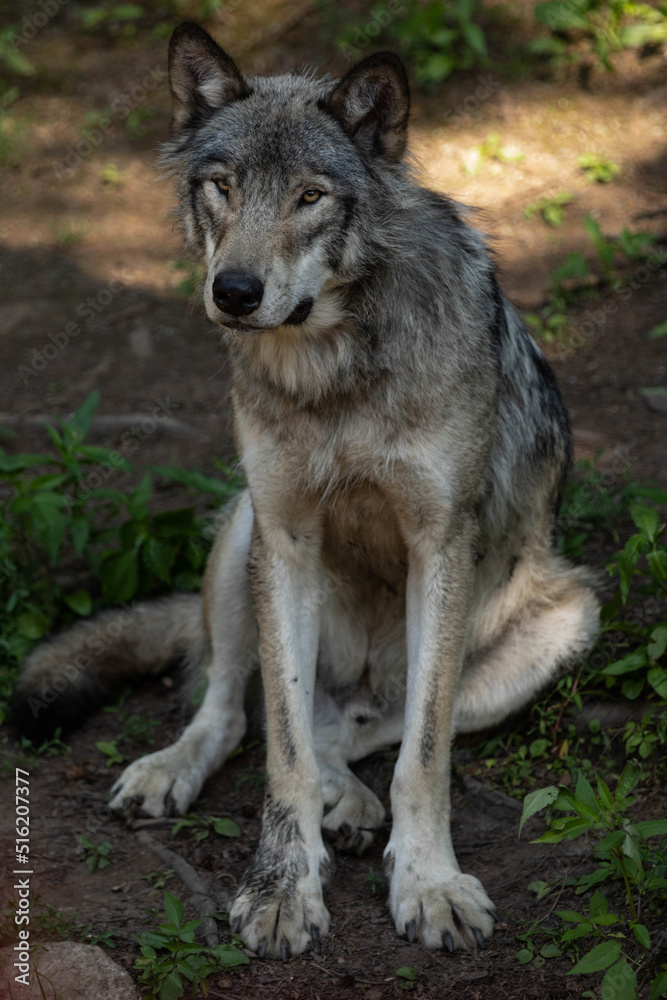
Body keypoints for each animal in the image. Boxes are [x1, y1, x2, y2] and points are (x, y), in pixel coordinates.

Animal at [14, 23, 600, 960]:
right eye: (221, 186)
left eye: (310, 196)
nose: (234, 292)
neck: (332, 370)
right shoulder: (285, 533)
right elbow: (280, 752)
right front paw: (283, 891)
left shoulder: (441, 542)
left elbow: (421, 758)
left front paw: (427, 885)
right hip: (242, 534)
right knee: (237, 709)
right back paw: (183, 773)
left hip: (564, 620)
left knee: (358, 731)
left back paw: (352, 803)